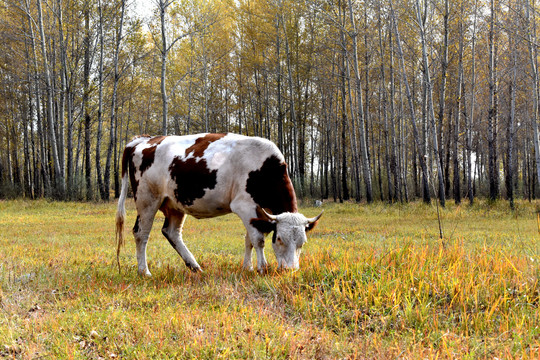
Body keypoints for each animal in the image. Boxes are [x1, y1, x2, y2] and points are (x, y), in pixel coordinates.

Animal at [116, 134, 320, 274]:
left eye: (302, 242)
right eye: (279, 239)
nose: (290, 270)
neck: (264, 167)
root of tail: (144, 140)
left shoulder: (256, 213)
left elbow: (249, 240)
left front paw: (247, 268)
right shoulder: (245, 206)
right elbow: (258, 240)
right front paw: (261, 268)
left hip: (174, 204)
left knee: (172, 232)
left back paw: (195, 267)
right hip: (147, 200)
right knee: (141, 233)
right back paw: (144, 271)